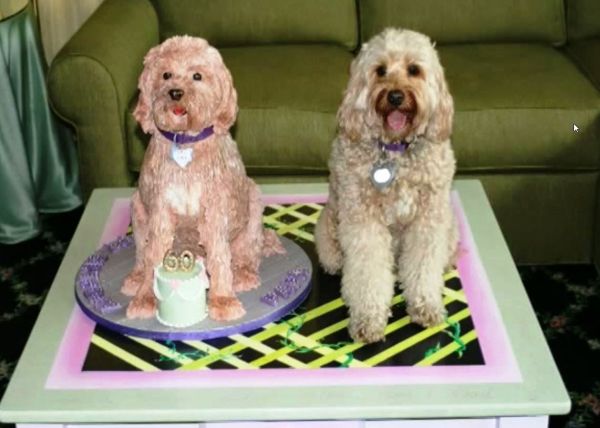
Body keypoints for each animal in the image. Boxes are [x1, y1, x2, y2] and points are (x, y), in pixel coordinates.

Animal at [314, 29, 460, 344]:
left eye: (414, 70)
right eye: (380, 70)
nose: (395, 96)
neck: (394, 152)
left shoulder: (428, 221)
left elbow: (422, 267)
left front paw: (425, 305)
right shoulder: (363, 223)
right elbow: (368, 274)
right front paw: (368, 319)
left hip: (449, 227)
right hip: (329, 228)